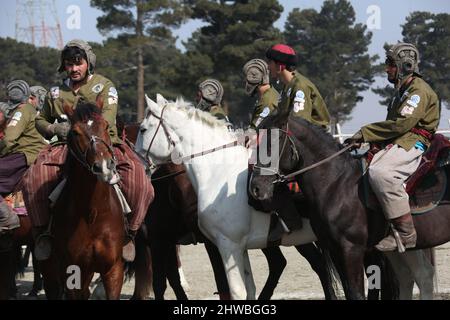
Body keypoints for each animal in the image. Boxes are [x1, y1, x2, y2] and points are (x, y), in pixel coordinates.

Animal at [41, 99, 125, 298]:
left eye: (106, 125)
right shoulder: (72, 271)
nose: (104, 166)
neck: (93, 213)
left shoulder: (113, 269)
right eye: (75, 132)